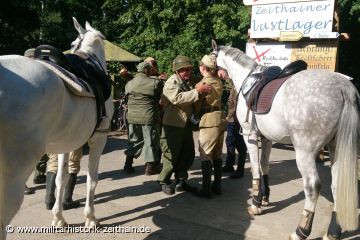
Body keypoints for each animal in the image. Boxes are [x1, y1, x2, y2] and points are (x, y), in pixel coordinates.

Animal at [0, 17, 114, 239]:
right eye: (73, 43)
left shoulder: (65, 143)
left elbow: (60, 179)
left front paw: (59, 217)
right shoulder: (99, 139)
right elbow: (92, 179)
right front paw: (90, 218)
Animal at [212, 43, 358, 240]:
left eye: (212, 57)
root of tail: (344, 88)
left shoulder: (250, 136)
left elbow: (256, 169)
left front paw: (256, 203)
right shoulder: (267, 138)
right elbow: (265, 166)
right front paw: (265, 198)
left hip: (304, 153)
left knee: (312, 187)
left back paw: (301, 231)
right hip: (336, 149)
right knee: (337, 185)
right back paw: (333, 232)